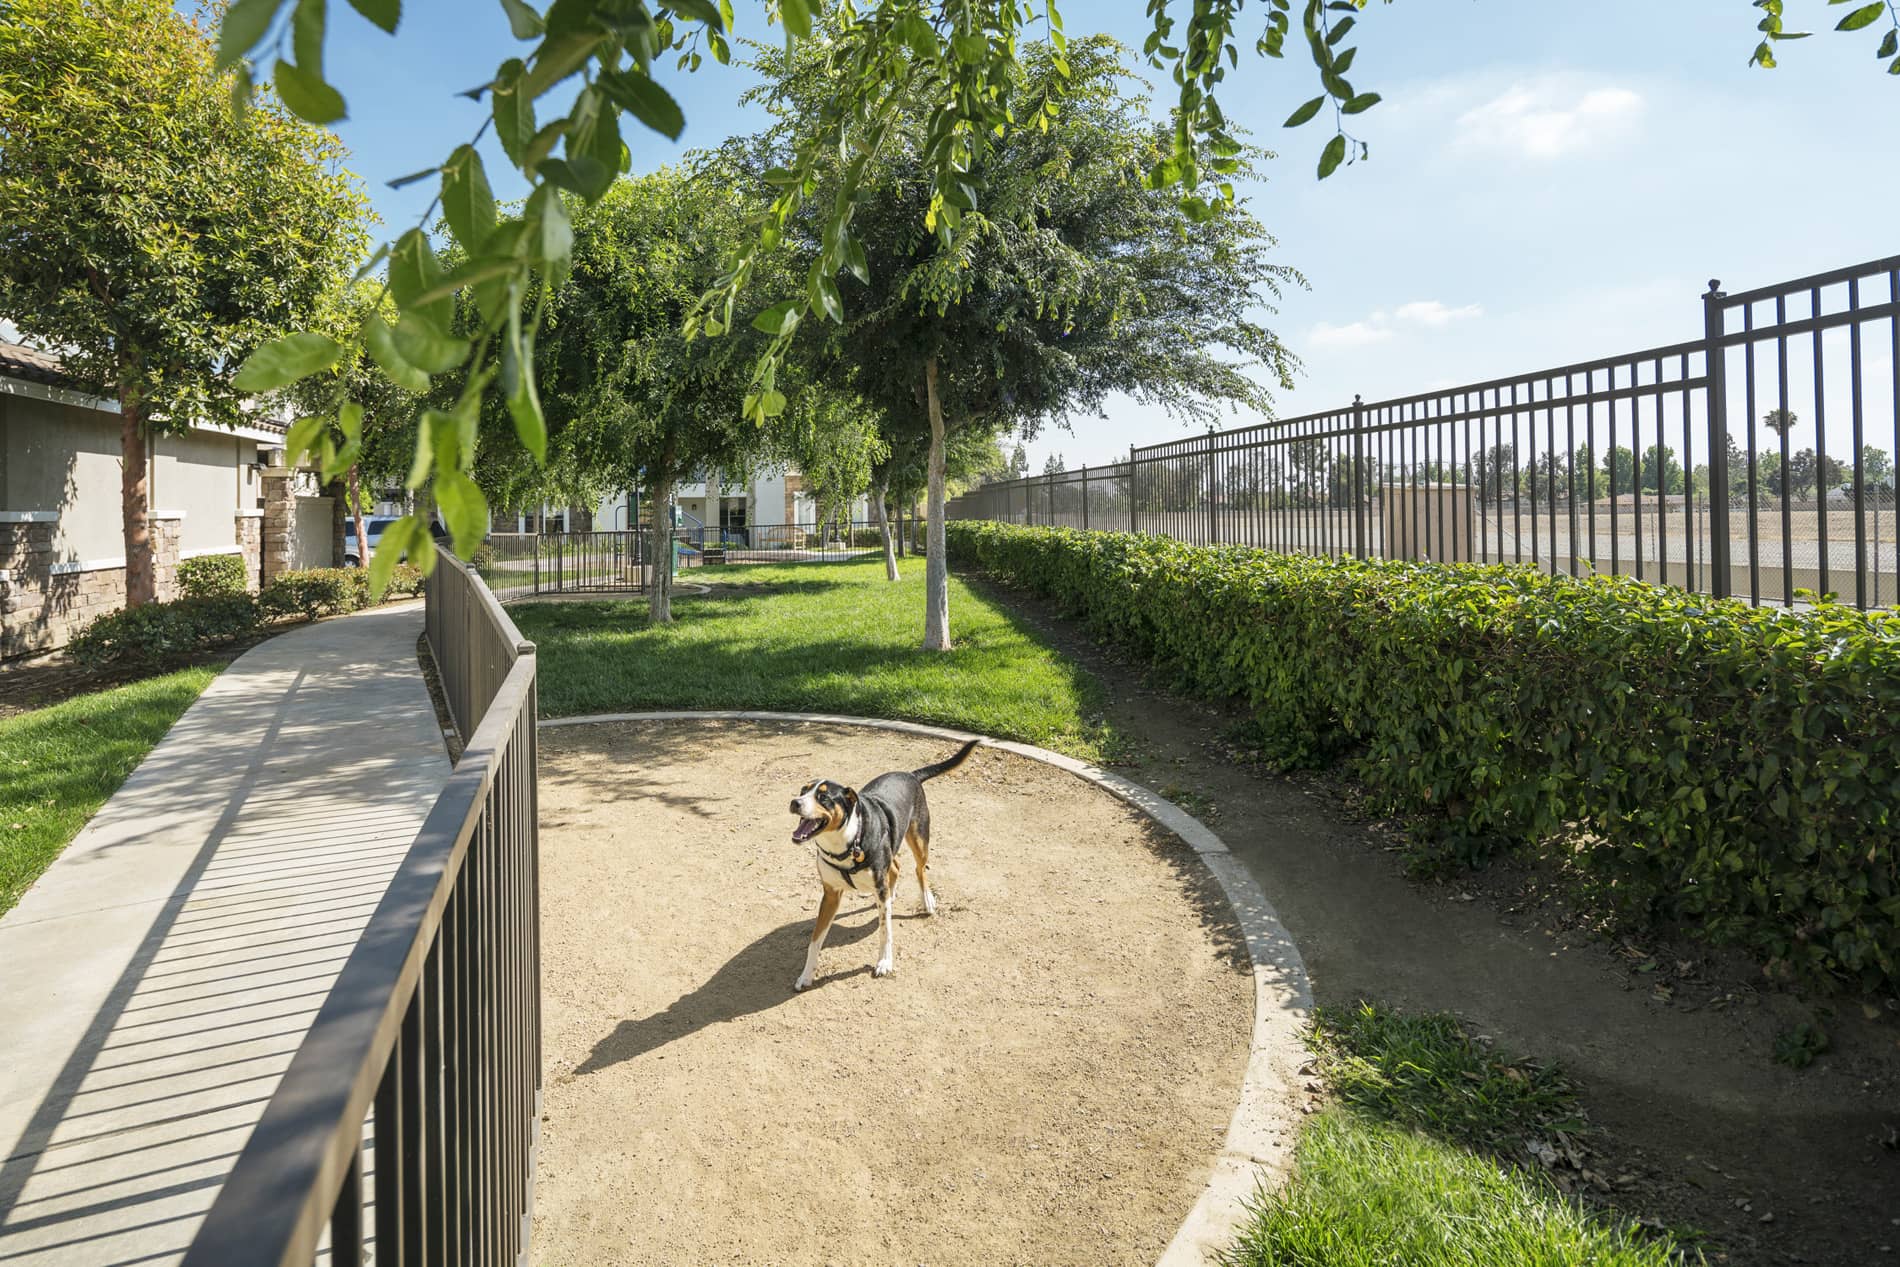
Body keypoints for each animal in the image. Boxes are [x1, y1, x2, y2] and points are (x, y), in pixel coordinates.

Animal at [786, 737, 980, 995]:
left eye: (823, 797)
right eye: (803, 791)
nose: (794, 802)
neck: (847, 842)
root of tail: (910, 774)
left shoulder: (877, 887)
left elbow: (884, 930)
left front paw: (885, 962)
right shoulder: (831, 894)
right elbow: (815, 940)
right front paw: (806, 975)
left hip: (919, 838)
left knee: (919, 869)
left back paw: (927, 900)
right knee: (896, 866)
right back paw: (894, 892)